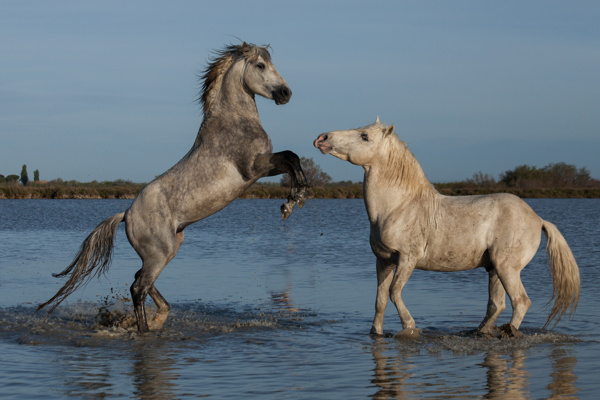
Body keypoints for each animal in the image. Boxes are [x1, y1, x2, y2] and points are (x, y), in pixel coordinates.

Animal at [38, 42, 304, 332]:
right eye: (260, 65)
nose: (286, 93)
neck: (234, 121)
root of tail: (126, 214)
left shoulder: (264, 167)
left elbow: (292, 160)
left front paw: (294, 200)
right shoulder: (254, 167)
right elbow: (291, 157)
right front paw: (292, 203)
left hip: (169, 248)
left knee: (140, 279)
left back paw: (159, 316)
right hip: (160, 253)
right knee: (138, 288)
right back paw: (145, 329)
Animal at [316, 119, 580, 338]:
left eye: (364, 136)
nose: (322, 138)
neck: (398, 207)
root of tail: (538, 219)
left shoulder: (407, 258)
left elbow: (394, 292)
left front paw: (410, 327)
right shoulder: (383, 261)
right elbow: (380, 300)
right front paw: (377, 333)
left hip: (508, 268)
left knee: (520, 302)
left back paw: (508, 332)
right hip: (494, 269)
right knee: (497, 305)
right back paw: (480, 332)